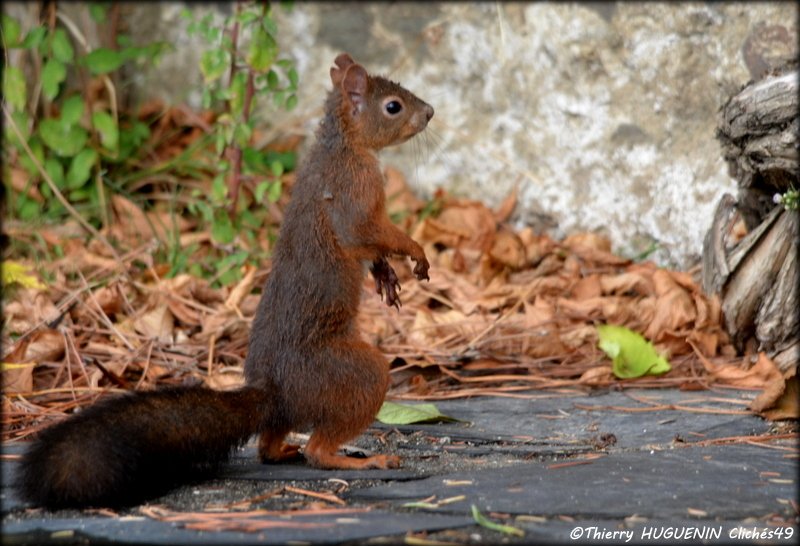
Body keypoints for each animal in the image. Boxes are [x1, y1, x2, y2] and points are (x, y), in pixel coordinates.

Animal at [16, 53, 433, 509]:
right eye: (393, 106)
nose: (430, 112)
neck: (343, 145)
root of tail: (274, 392)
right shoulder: (354, 190)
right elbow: (365, 233)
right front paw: (414, 250)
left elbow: (370, 247)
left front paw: (385, 272)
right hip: (355, 374)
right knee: (318, 450)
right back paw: (362, 460)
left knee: (268, 446)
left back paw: (285, 450)